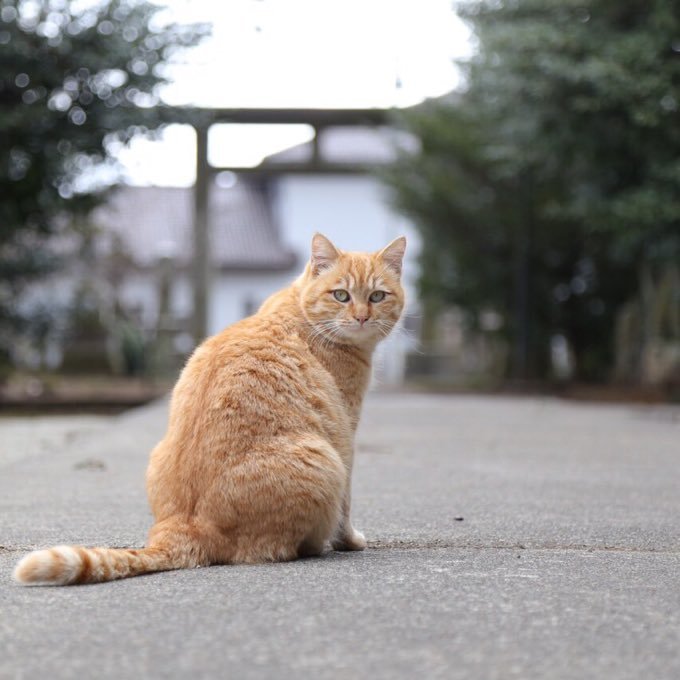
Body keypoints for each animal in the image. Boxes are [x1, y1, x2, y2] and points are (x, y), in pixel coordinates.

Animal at [14, 234, 404, 584]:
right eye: (341, 295)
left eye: (377, 296)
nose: (362, 317)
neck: (299, 309)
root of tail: (187, 526)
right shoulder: (346, 436)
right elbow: (346, 507)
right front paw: (349, 541)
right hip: (326, 459)